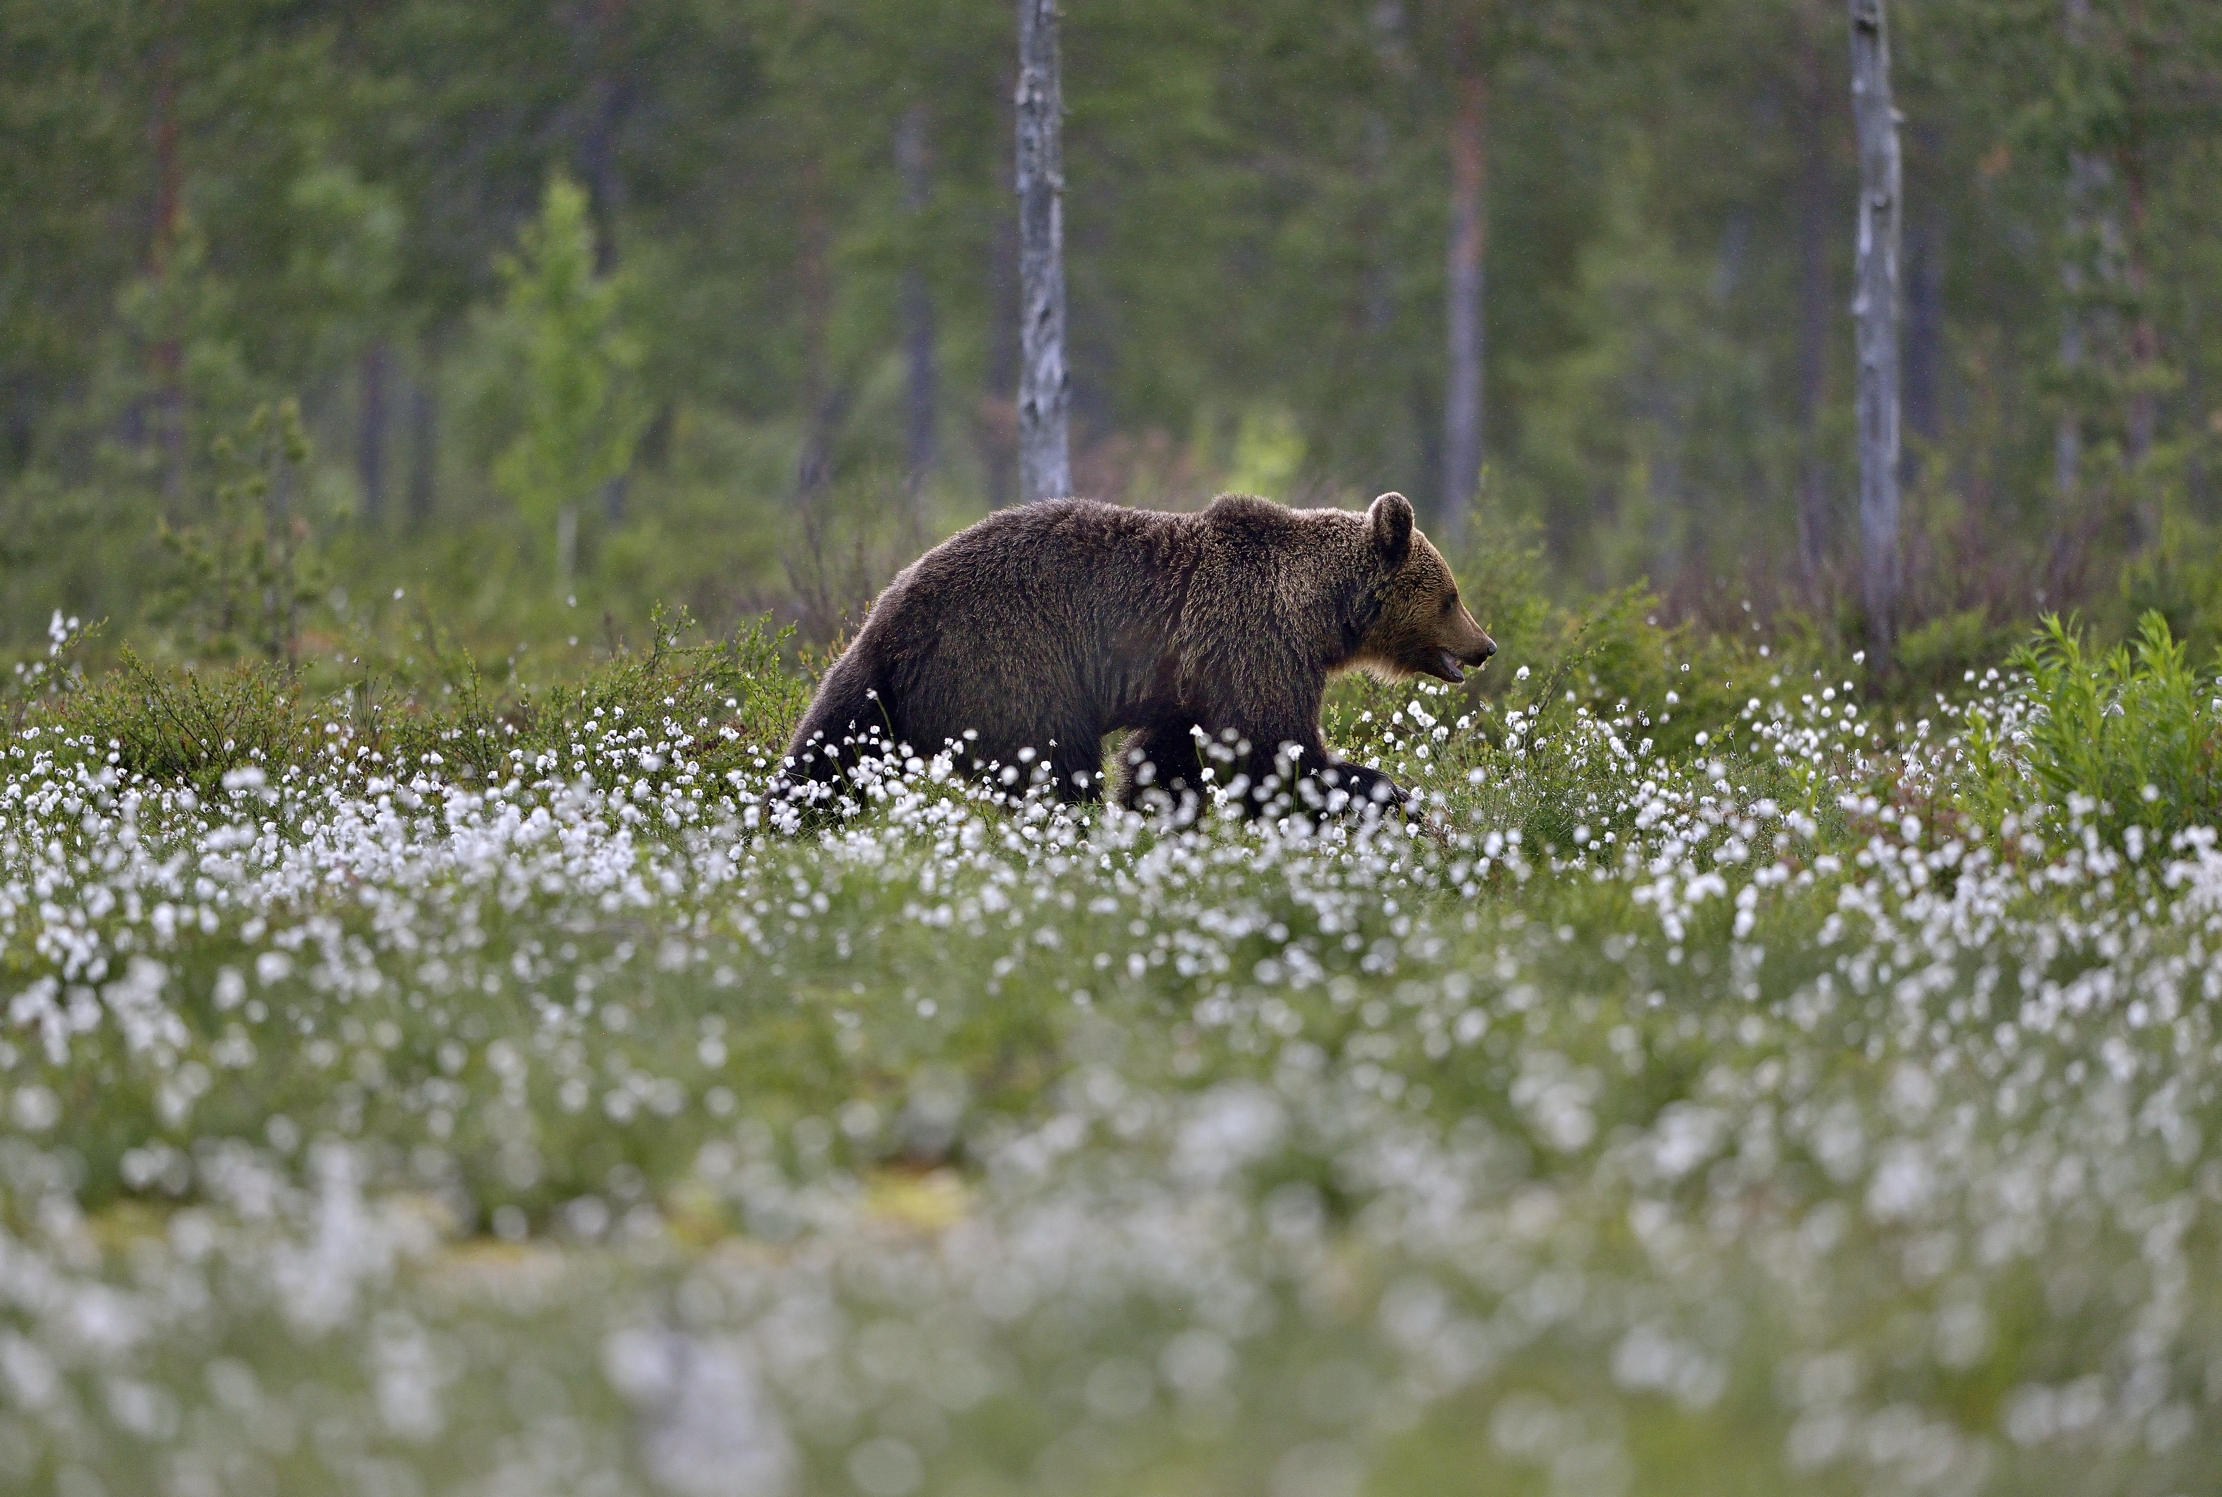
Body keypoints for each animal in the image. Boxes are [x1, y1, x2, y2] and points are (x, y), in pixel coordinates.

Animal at [779, 491, 1496, 817]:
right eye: (1450, 595)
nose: (1484, 646)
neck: (1315, 612)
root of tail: (890, 617)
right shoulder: (1254, 645)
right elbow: (1272, 753)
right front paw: (1385, 790)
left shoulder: (1190, 680)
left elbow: (1166, 758)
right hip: (1008, 661)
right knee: (1053, 767)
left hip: (877, 686)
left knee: (827, 751)